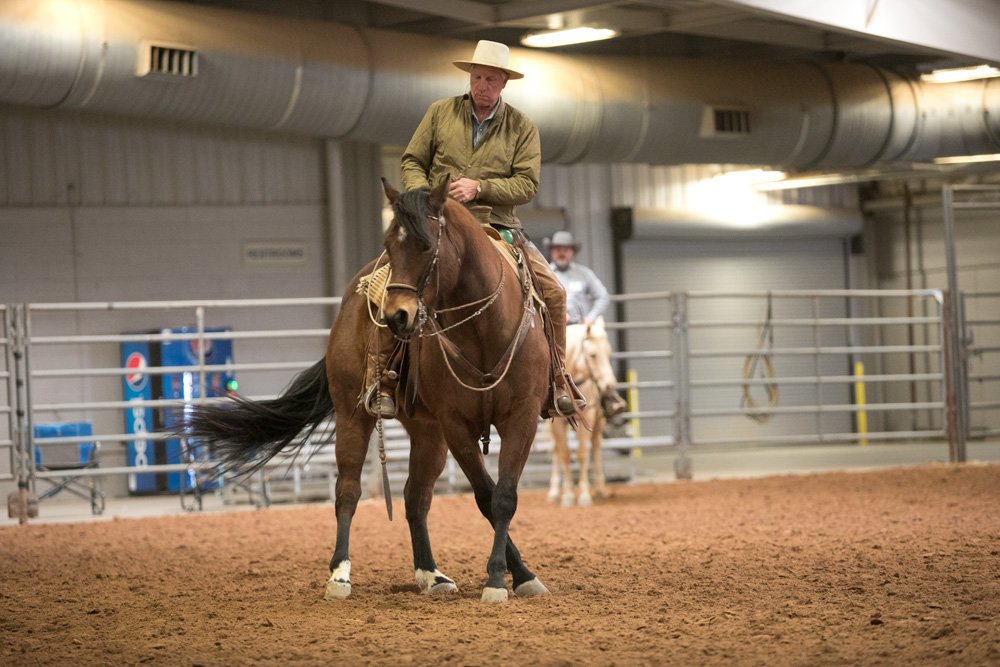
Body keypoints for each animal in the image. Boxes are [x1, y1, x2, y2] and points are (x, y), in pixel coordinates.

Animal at [182, 177, 556, 604]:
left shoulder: (521, 417)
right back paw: (340, 574)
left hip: (426, 430)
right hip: (354, 415)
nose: (395, 316)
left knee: (415, 497)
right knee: (348, 490)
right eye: (389, 244)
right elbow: (485, 496)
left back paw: (432, 575)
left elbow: (503, 497)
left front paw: (519, 576)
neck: (482, 330)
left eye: (425, 245)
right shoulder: (456, 425)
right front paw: (498, 578)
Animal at [548, 318, 616, 506]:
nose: (609, 385)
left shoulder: (588, 416)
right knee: (556, 449)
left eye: (609, 352)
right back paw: (554, 491)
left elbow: (582, 454)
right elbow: (564, 454)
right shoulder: (557, 423)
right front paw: (568, 495)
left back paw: (600, 488)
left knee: (596, 445)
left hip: (599, 421)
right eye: (592, 355)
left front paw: (584, 494)